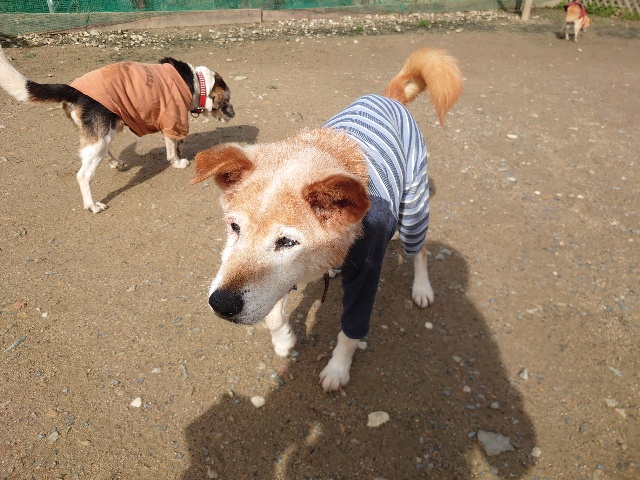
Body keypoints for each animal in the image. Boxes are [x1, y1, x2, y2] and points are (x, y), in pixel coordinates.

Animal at [0, 46, 235, 213]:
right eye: (228, 99)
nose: (234, 114)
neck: (196, 82)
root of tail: (74, 90)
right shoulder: (172, 119)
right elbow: (172, 147)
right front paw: (178, 162)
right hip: (99, 139)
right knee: (83, 175)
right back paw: (92, 205)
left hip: (105, 132)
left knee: (104, 152)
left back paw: (116, 163)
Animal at [190, 47, 463, 392]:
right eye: (235, 227)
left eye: (287, 242)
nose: (221, 304)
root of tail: (389, 96)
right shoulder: (281, 279)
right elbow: (273, 316)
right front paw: (283, 341)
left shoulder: (365, 275)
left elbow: (350, 331)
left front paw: (337, 369)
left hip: (413, 209)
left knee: (421, 250)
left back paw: (422, 288)